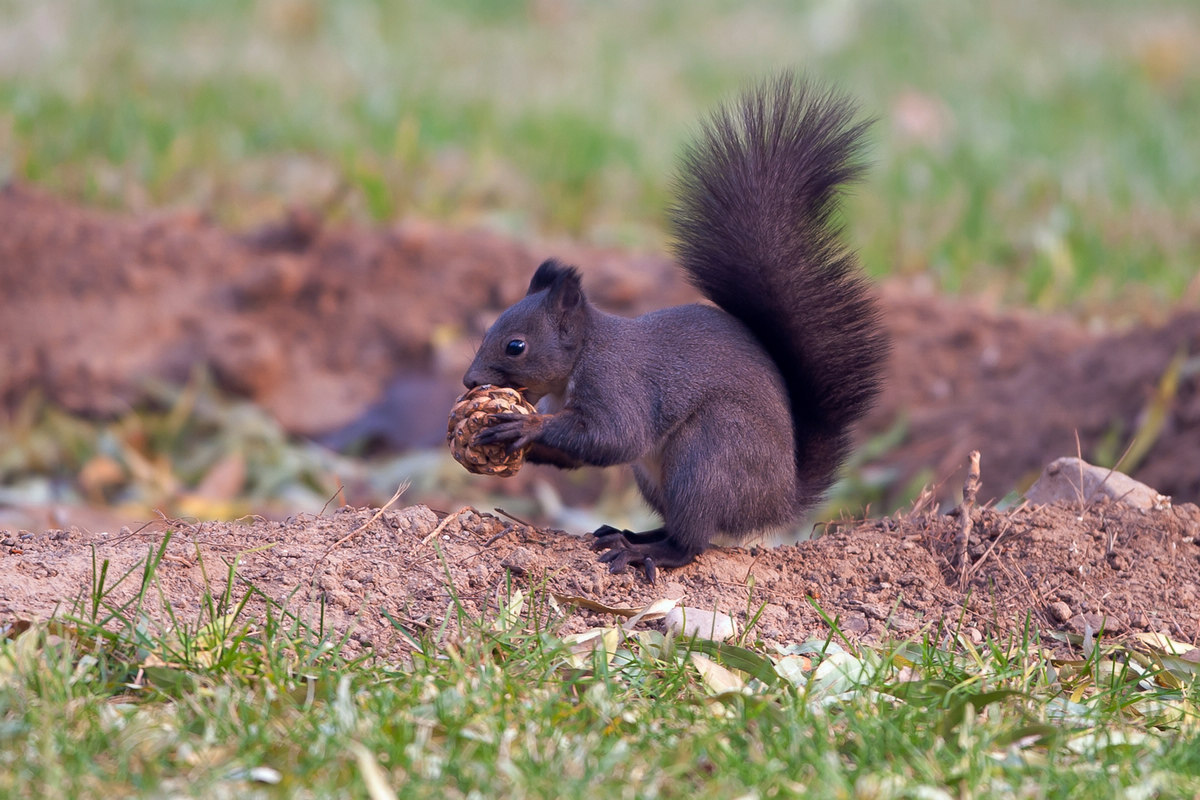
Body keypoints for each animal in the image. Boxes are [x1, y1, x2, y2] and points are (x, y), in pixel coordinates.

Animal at [463, 74, 888, 582]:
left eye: (515, 346)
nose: (469, 381)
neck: (583, 354)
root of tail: (778, 501)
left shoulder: (618, 383)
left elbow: (615, 436)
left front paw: (524, 427)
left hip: (708, 457)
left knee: (692, 542)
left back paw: (643, 552)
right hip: (658, 477)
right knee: (676, 526)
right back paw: (629, 534)